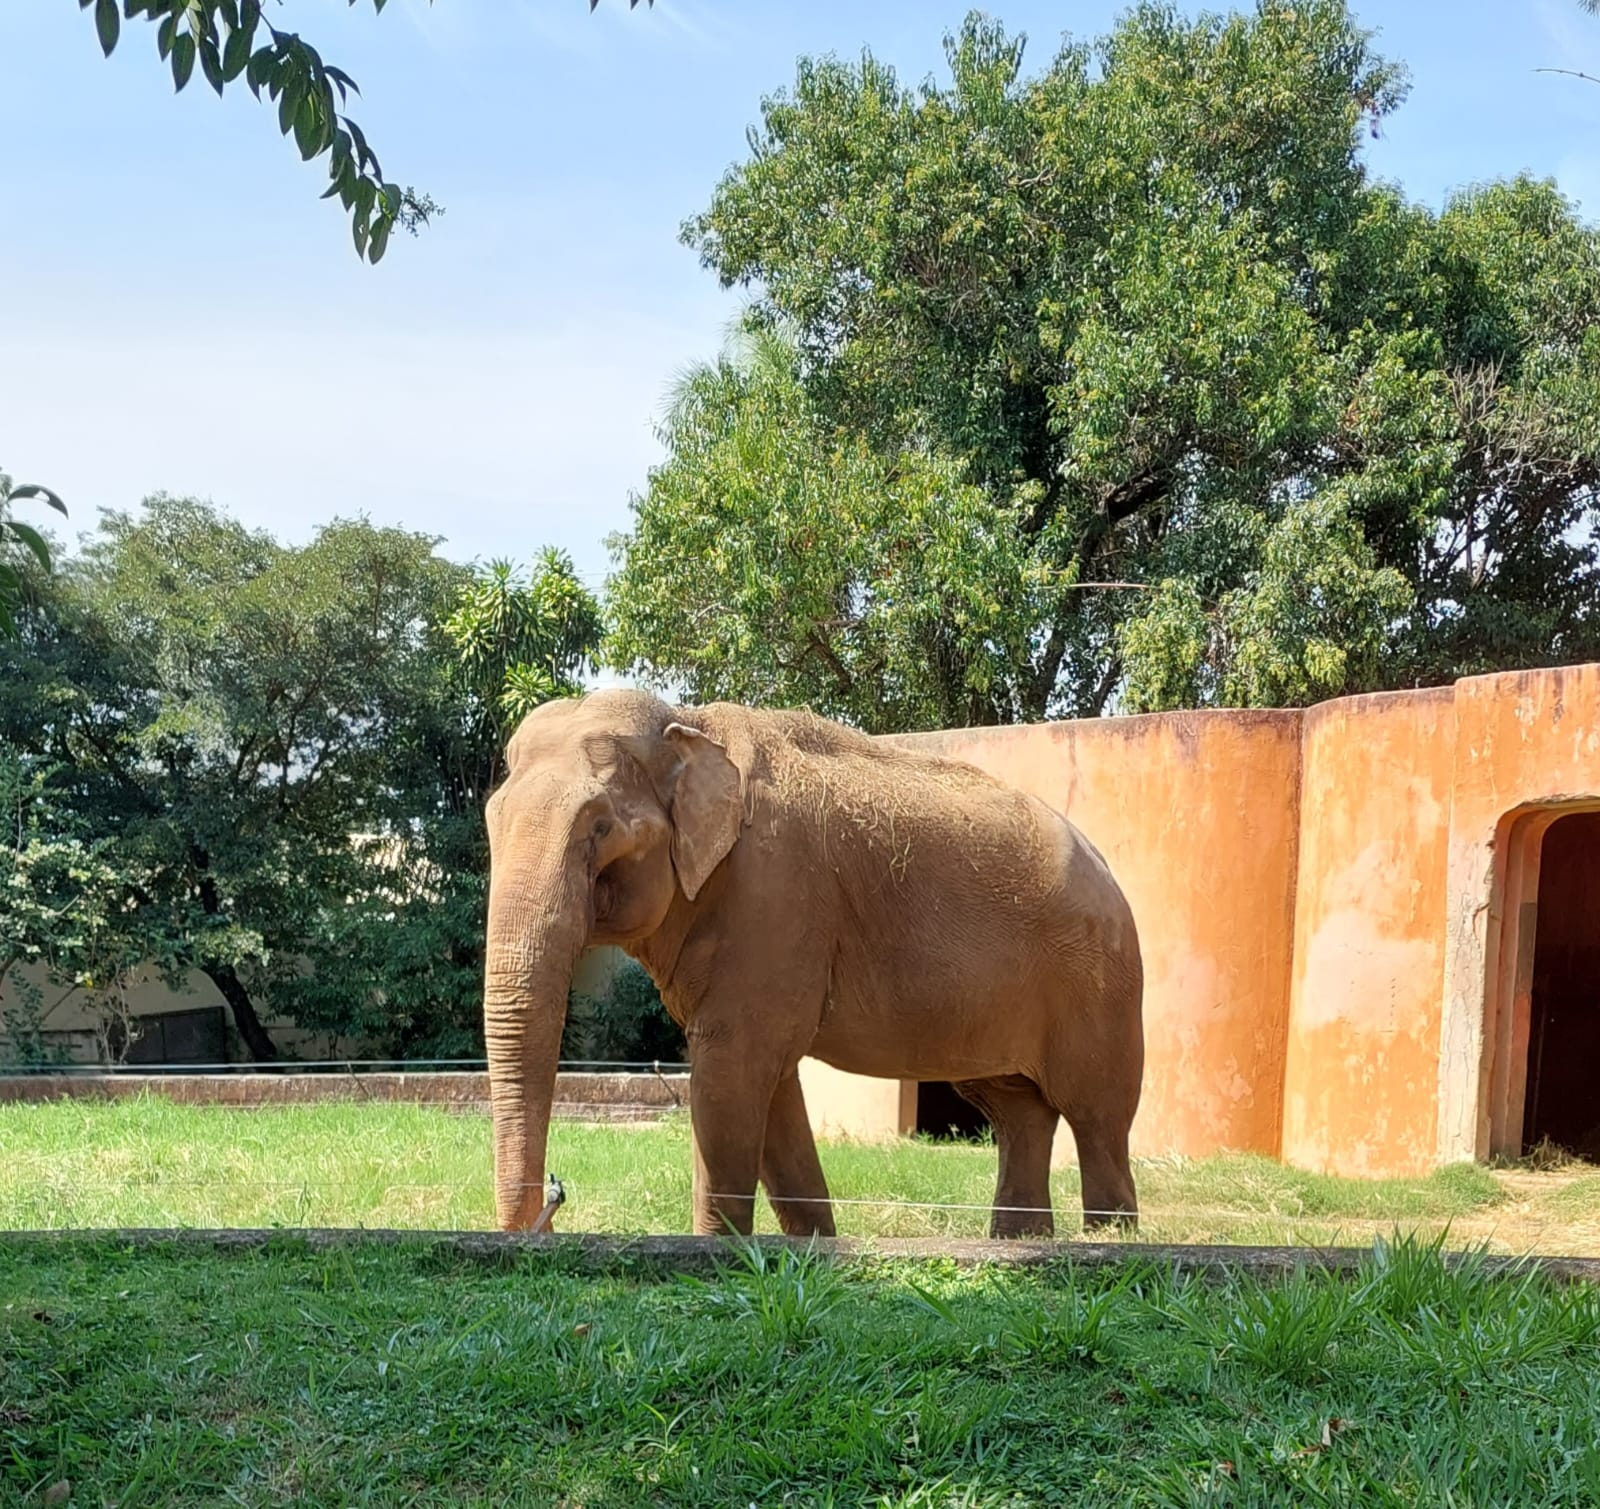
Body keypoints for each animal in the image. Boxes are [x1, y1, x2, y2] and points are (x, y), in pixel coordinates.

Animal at [480, 691, 1145, 1248]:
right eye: (492, 820)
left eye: (600, 828)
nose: (548, 1210)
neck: (691, 723)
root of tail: (1108, 870)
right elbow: (770, 1088)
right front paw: (815, 1245)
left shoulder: (775, 894)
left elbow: (730, 1077)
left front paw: (716, 1249)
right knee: (1017, 1111)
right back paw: (1021, 1242)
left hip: (1100, 981)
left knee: (1097, 1118)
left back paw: (1111, 1242)